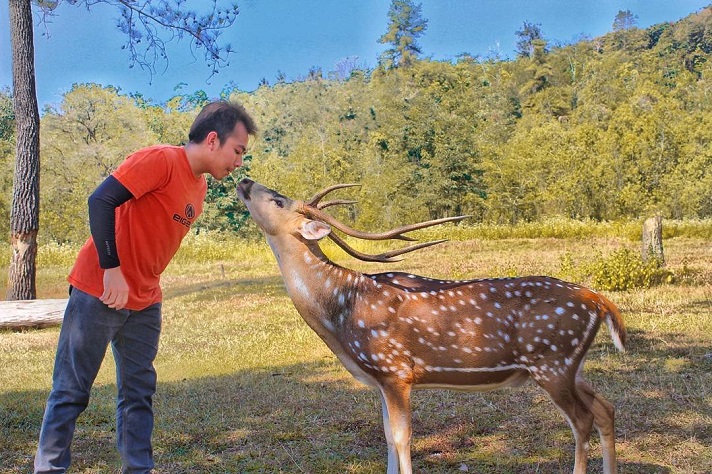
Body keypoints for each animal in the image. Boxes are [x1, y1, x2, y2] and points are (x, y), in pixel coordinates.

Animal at [238, 179, 624, 474]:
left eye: (277, 200)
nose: (244, 180)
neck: (341, 314)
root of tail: (599, 301)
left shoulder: (395, 370)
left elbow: (402, 438)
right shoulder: (381, 379)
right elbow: (387, 437)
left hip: (552, 362)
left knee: (583, 419)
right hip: (569, 366)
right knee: (606, 408)